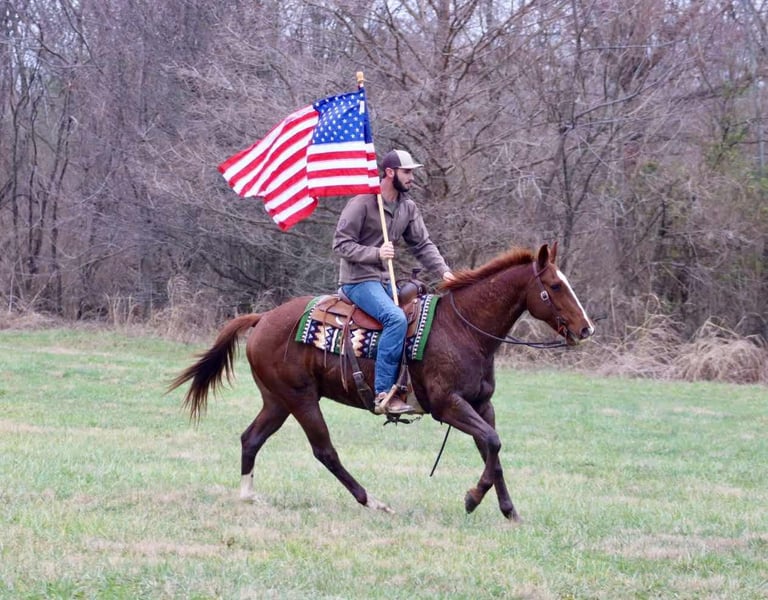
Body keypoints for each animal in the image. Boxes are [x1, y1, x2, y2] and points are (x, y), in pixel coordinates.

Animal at [168, 242, 594, 520]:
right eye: (555, 286)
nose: (586, 329)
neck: (462, 329)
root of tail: (263, 318)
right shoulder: (449, 406)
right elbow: (492, 443)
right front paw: (473, 498)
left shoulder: (480, 404)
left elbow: (493, 450)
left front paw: (508, 510)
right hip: (301, 400)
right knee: (325, 452)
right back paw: (372, 501)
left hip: (277, 401)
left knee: (251, 439)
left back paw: (248, 496)